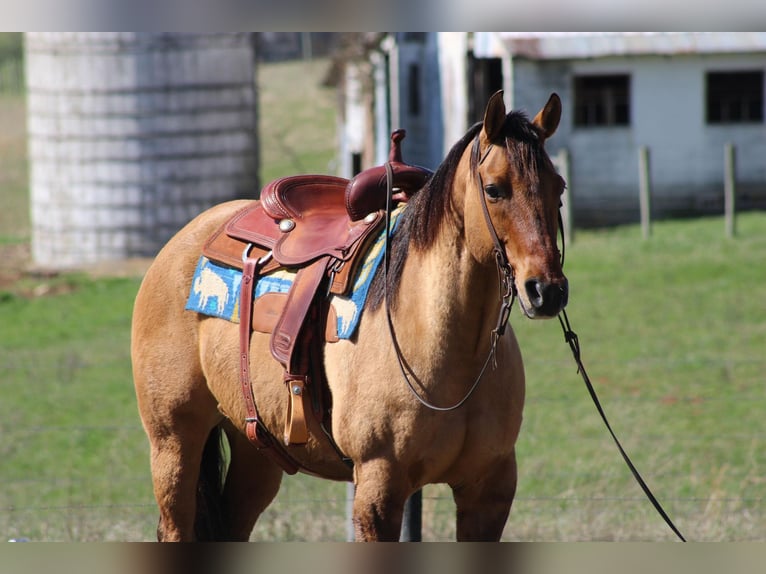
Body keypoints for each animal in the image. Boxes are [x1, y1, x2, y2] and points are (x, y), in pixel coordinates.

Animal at [129, 91, 568, 544]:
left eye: (559, 187)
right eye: (495, 189)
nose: (546, 289)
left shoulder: (488, 491)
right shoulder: (378, 487)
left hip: (256, 451)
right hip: (174, 442)